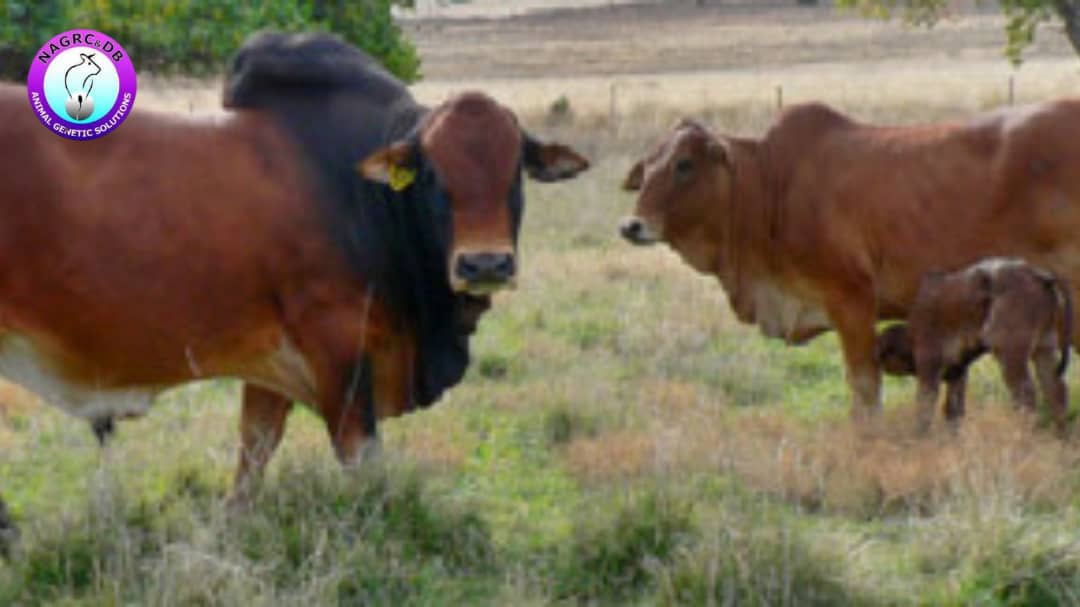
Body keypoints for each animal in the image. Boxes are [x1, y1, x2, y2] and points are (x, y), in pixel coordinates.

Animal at [0, 31, 590, 529]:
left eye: (515, 171)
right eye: (431, 174)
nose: (484, 264)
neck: (361, 194)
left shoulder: (268, 358)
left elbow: (255, 449)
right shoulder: (337, 347)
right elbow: (362, 460)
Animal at [875, 258, 1072, 432]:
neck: (910, 334)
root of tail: (1041, 276)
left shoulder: (929, 363)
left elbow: (925, 405)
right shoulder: (958, 372)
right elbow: (953, 410)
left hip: (1009, 352)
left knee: (1025, 393)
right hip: (1044, 348)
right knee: (1055, 390)